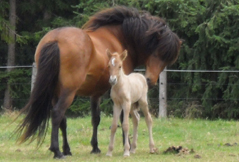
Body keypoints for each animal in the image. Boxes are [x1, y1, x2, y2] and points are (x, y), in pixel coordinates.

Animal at [15, 6, 181, 158]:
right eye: (159, 53)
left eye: (167, 59)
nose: (150, 80)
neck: (119, 37)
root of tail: (55, 39)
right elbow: (122, 118)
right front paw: (125, 145)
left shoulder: (95, 94)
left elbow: (95, 118)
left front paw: (95, 147)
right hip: (68, 92)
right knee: (57, 114)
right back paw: (57, 151)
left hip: (56, 93)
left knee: (62, 119)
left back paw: (67, 150)